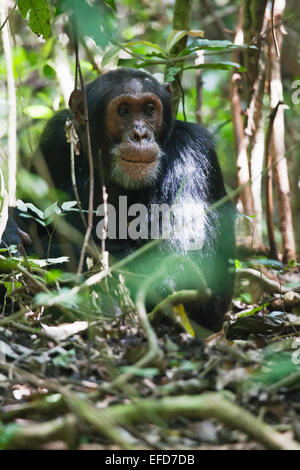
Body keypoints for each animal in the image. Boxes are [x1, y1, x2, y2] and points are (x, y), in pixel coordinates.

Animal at [1, 69, 236, 330]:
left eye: (149, 109)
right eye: (123, 110)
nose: (140, 134)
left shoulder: (191, 154)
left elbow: (182, 264)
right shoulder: (54, 141)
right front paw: (9, 227)